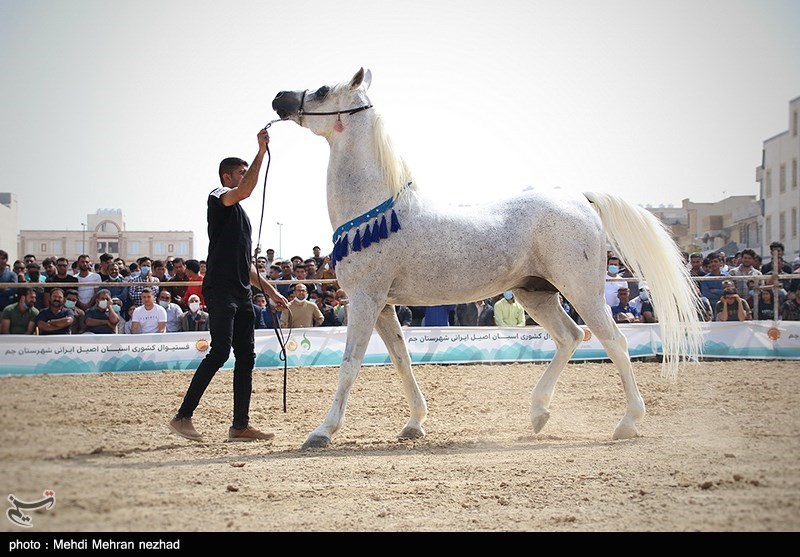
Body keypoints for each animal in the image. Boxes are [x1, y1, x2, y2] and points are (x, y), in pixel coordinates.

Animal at [272, 68, 704, 448]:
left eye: (323, 90)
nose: (279, 98)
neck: (378, 211)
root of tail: (580, 199)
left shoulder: (365, 300)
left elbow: (349, 365)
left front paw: (322, 432)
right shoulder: (384, 306)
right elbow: (402, 360)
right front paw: (414, 424)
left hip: (582, 291)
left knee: (614, 341)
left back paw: (627, 422)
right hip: (536, 293)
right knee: (570, 336)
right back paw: (538, 414)